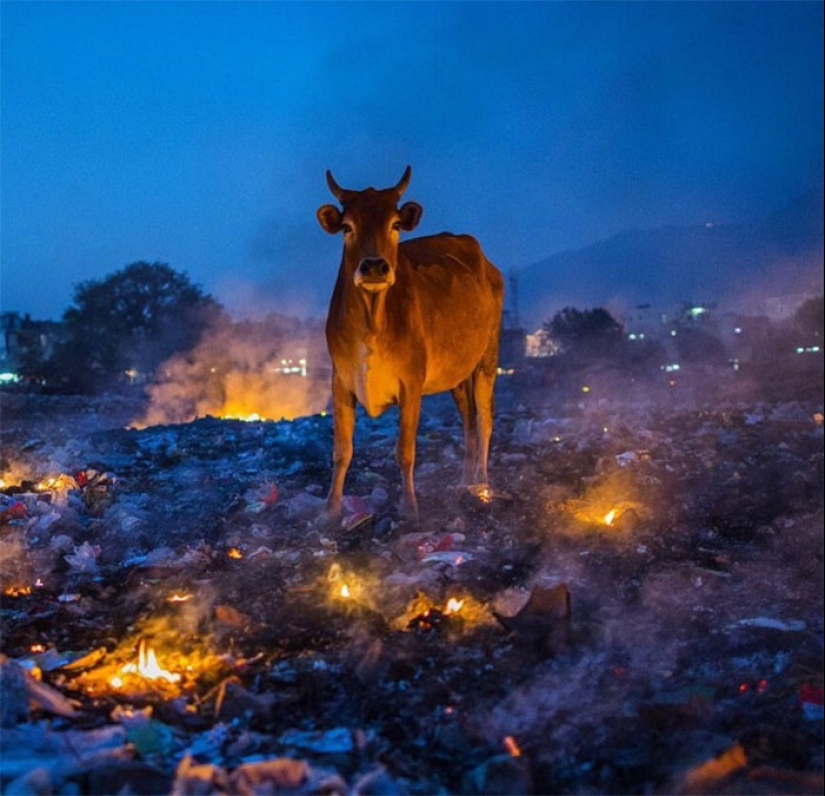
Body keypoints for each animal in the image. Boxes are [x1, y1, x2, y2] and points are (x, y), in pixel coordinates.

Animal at [318, 168, 506, 524]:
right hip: (457, 377)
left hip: (488, 359)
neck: (372, 324)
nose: (374, 267)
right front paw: (330, 510)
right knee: (469, 425)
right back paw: (464, 482)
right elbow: (341, 451)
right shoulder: (341, 382)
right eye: (347, 227)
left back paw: (484, 483)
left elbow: (405, 451)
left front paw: (409, 506)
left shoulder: (411, 384)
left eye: (394, 224)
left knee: (485, 421)